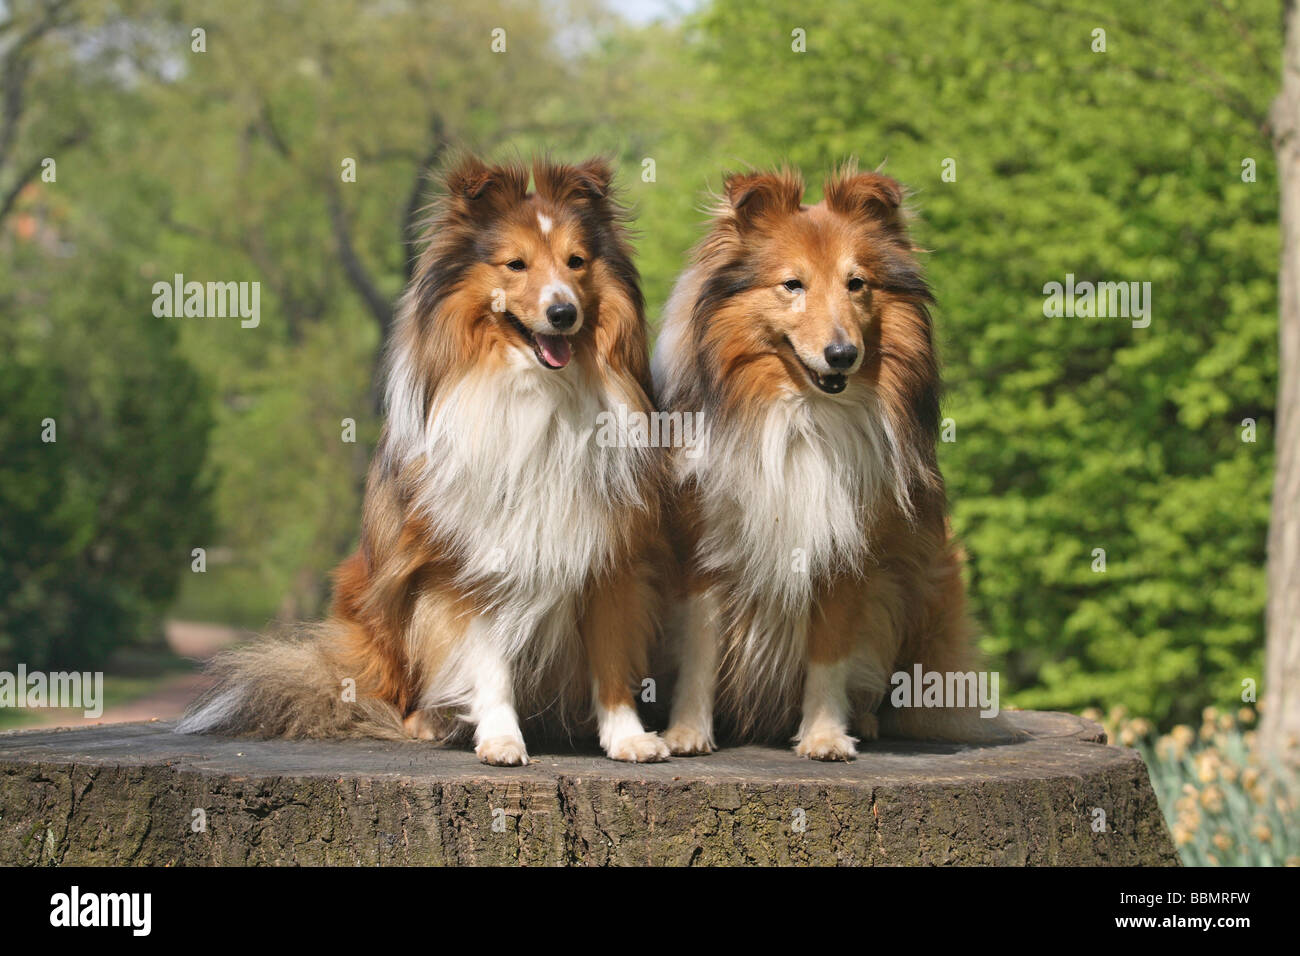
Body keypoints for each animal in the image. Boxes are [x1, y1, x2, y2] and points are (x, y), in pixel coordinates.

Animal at [178, 157, 670, 770]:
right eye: (516, 263)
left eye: (577, 262)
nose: (563, 313)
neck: (537, 389)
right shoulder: (465, 558)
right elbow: (486, 662)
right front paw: (501, 739)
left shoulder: (609, 552)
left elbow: (612, 657)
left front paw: (628, 737)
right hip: (372, 599)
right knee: (388, 692)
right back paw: (430, 720)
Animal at [655, 164, 1019, 764]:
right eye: (792, 284)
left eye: (857, 283)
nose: (842, 355)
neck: (803, 419)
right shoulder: (701, 549)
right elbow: (699, 651)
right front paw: (685, 734)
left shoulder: (846, 551)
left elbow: (829, 654)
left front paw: (825, 736)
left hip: (930, 583)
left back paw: (864, 720)